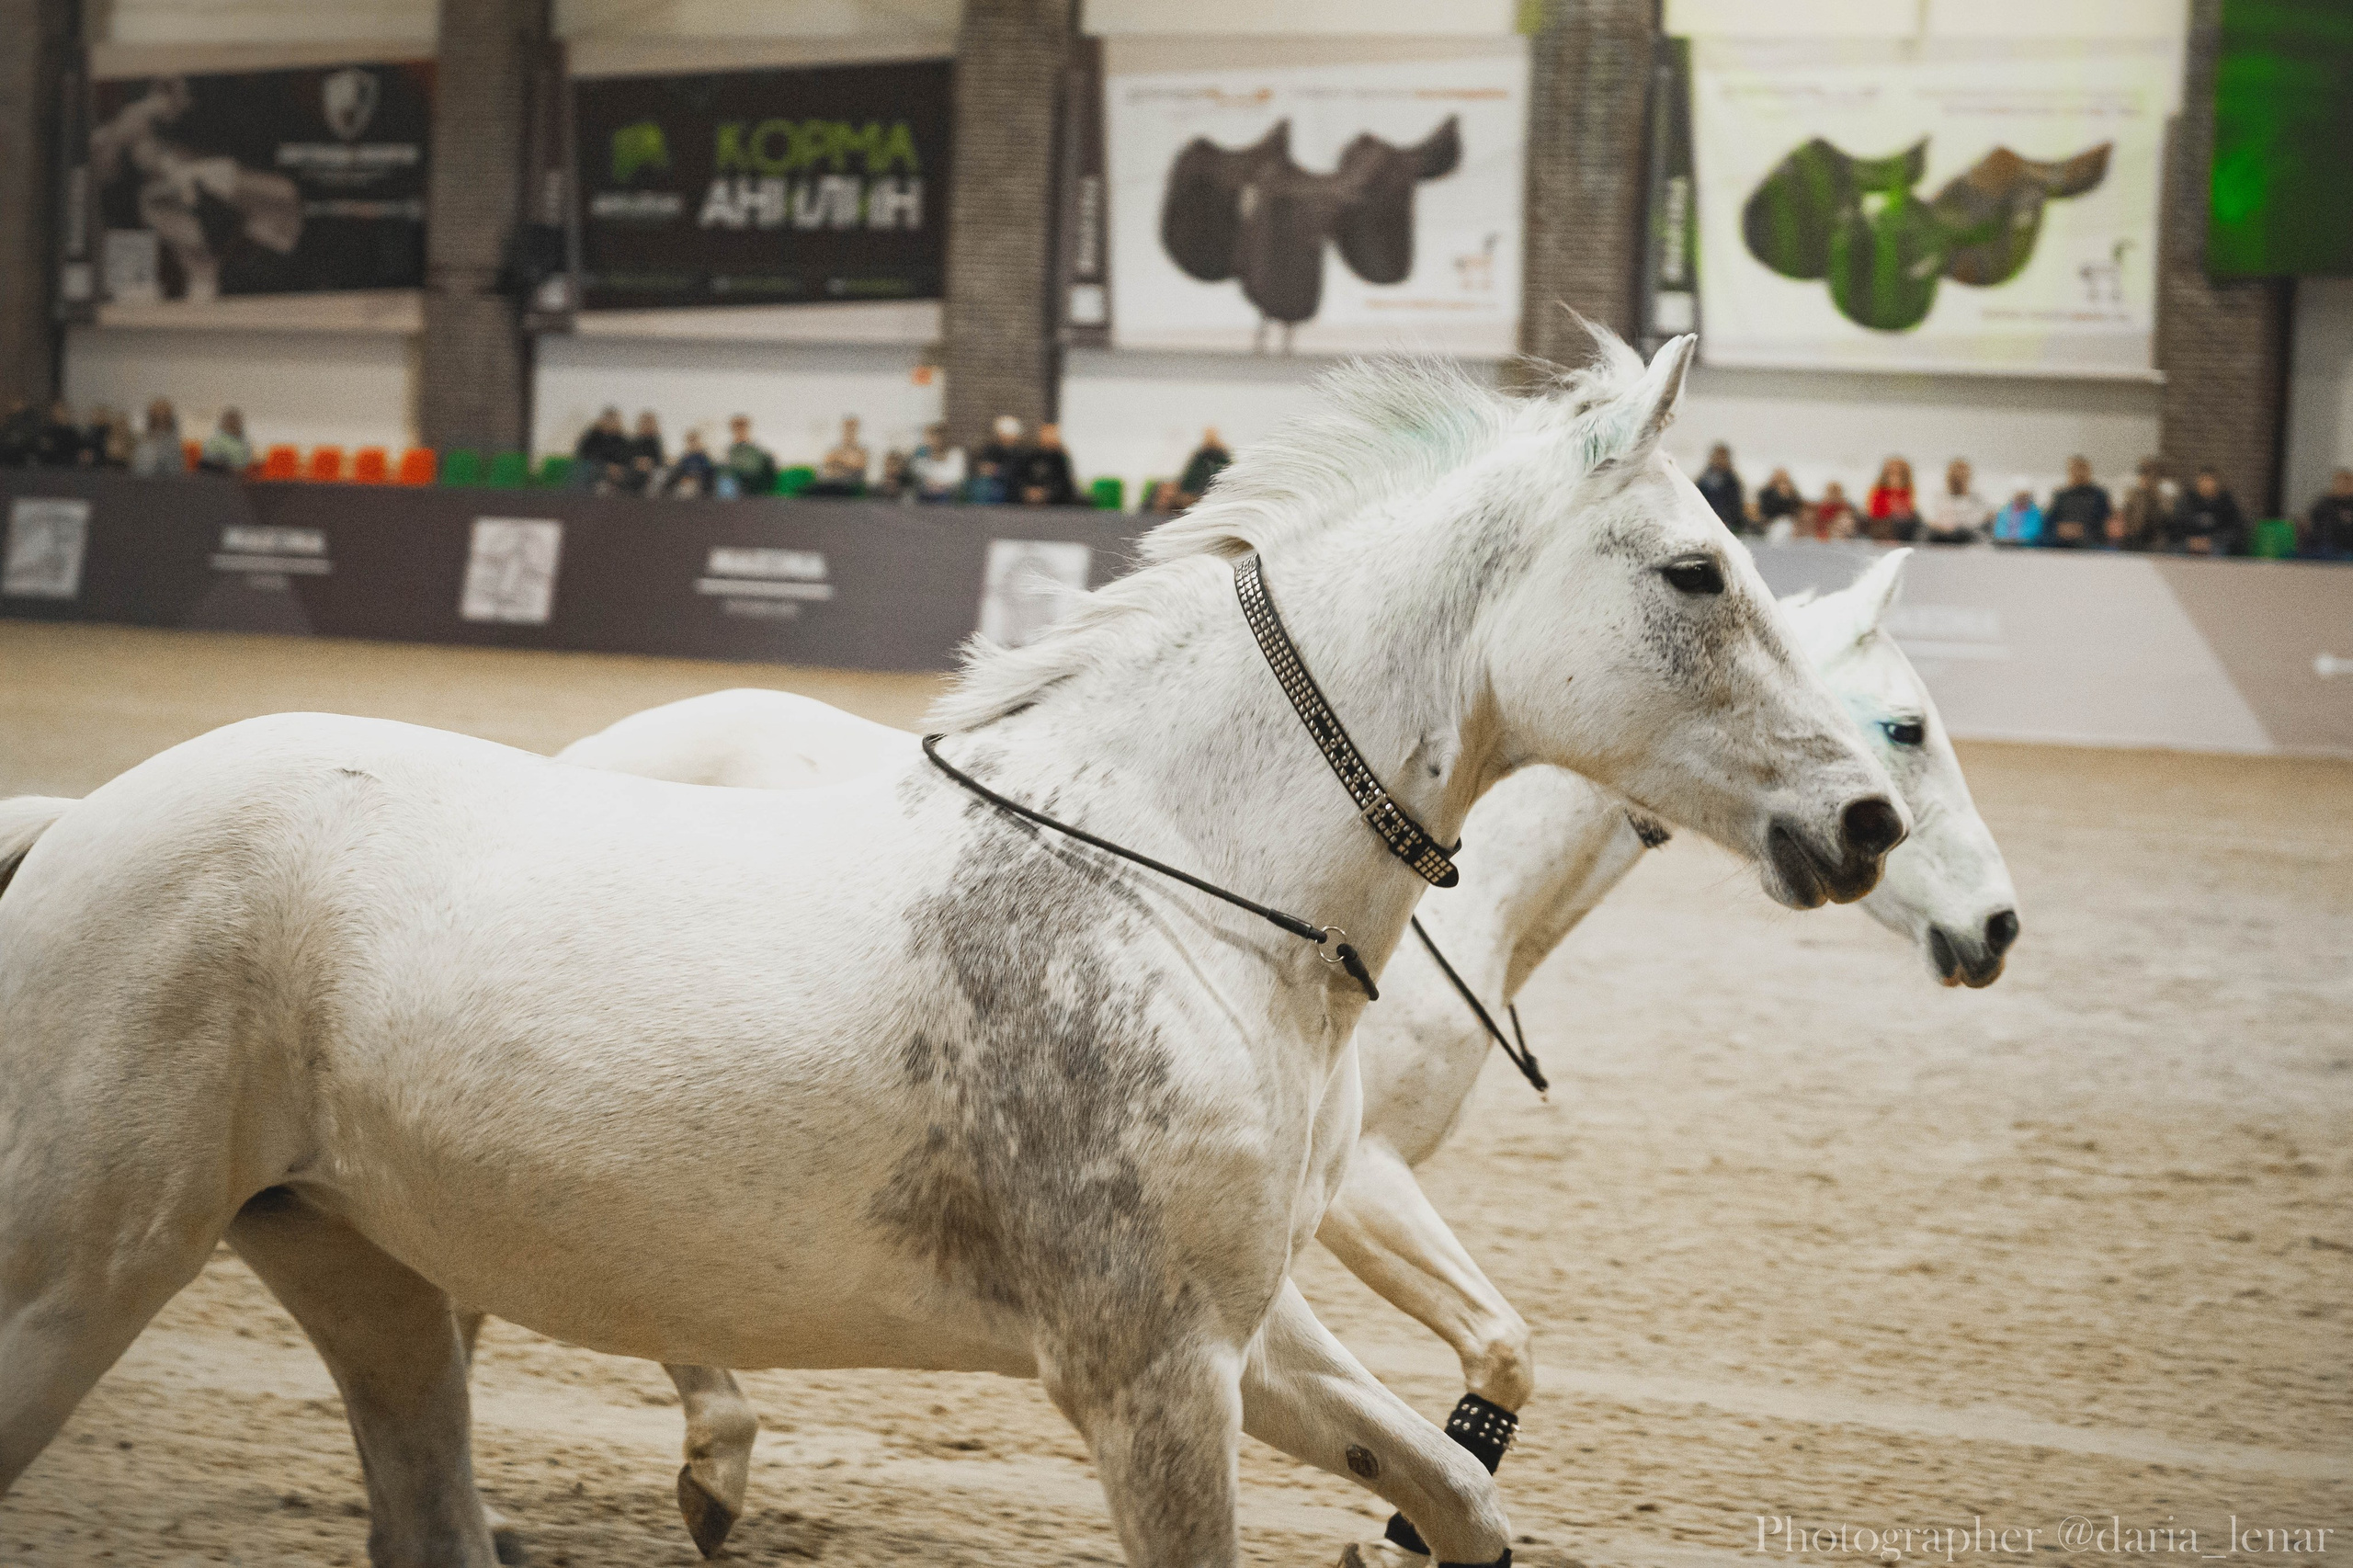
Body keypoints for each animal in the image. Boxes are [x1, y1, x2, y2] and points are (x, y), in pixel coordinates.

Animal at [495, 546, 2016, 1558]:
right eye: (1904, 725)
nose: (1996, 926)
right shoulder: (1364, 1190)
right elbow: (1501, 1342)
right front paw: (1393, 1530)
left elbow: (1496, 1361)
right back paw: (705, 1457)